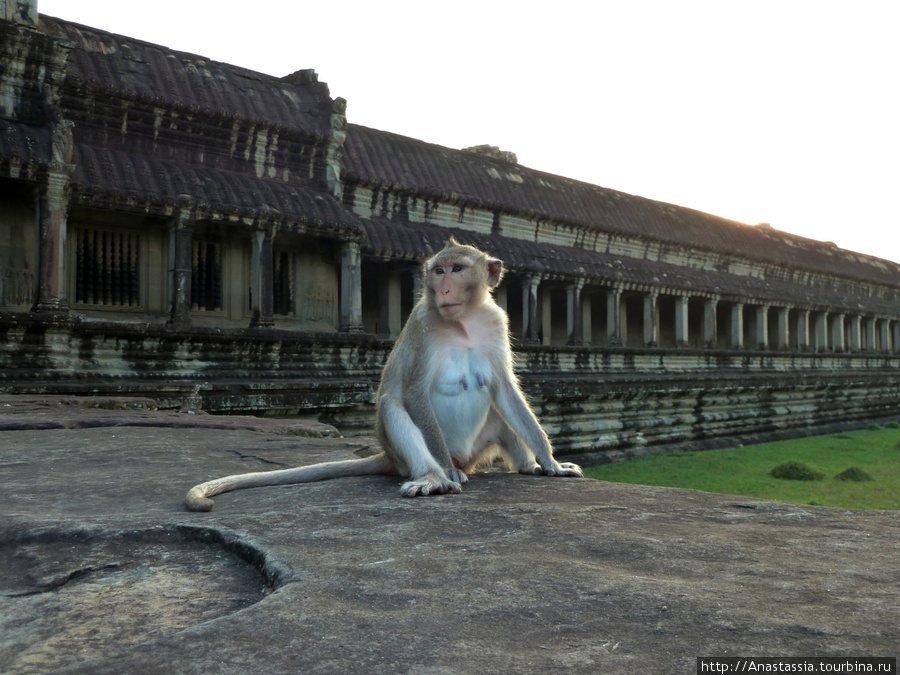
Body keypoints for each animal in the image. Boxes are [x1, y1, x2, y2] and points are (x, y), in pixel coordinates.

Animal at [185, 239, 584, 512]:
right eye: (438, 271)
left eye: (457, 269)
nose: (443, 288)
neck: (463, 323)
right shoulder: (423, 325)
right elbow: (413, 393)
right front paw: (445, 473)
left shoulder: (497, 323)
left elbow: (505, 390)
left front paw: (550, 462)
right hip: (409, 457)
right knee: (393, 406)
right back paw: (435, 478)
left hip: (477, 448)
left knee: (501, 416)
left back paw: (530, 467)